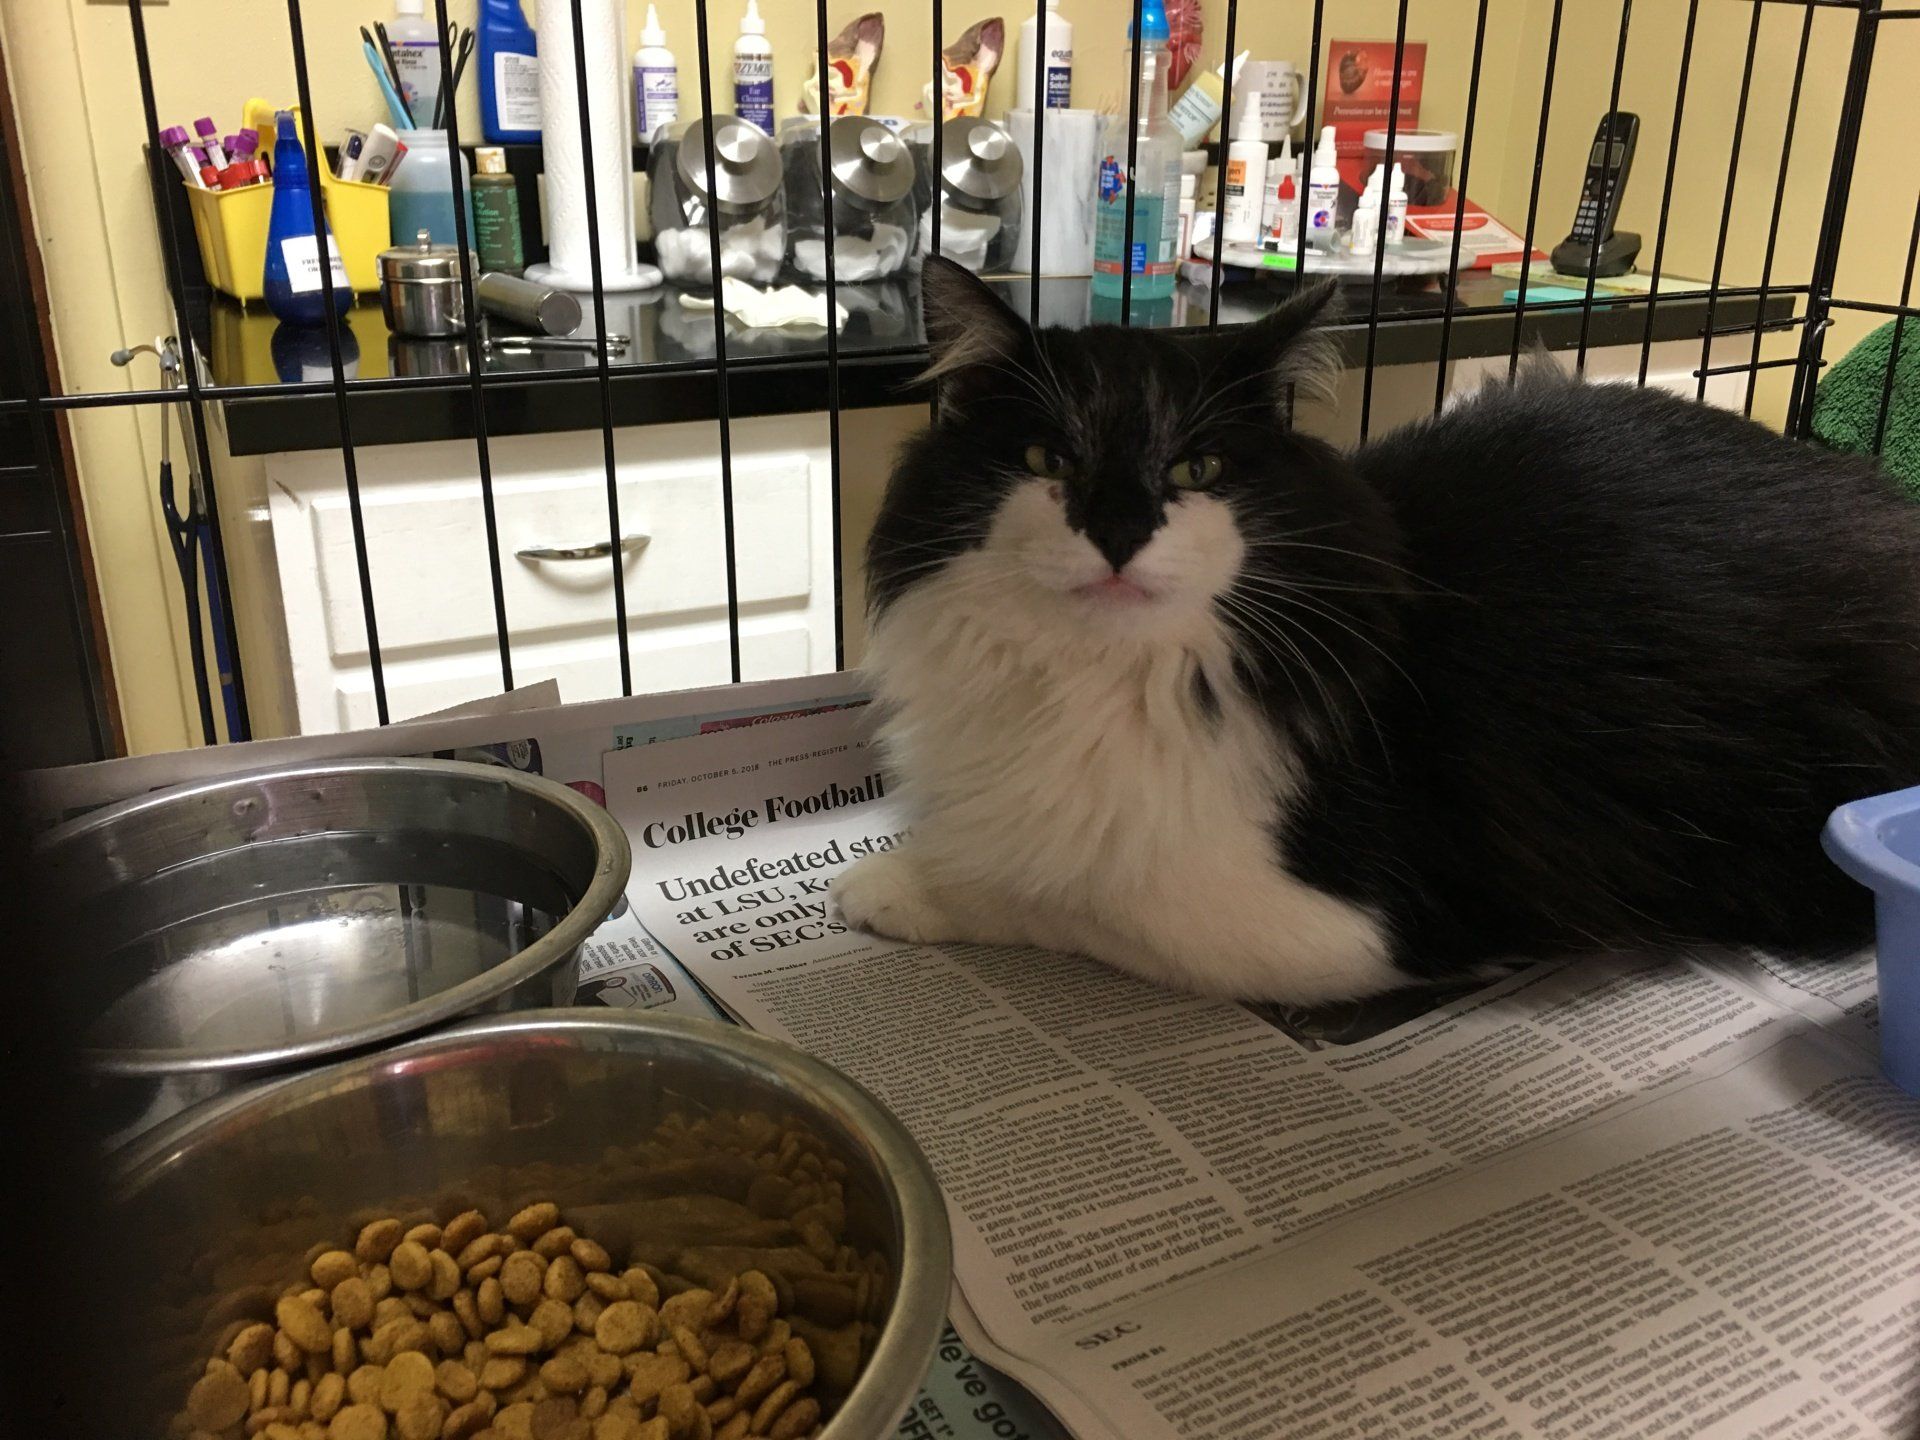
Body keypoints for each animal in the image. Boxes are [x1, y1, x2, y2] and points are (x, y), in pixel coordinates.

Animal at [830, 257, 1920, 1003]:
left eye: (1197, 471)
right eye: (1045, 460)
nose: (1120, 533)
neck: (1096, 673)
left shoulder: (1350, 925)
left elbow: (1064, 891)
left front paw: (893, 887)